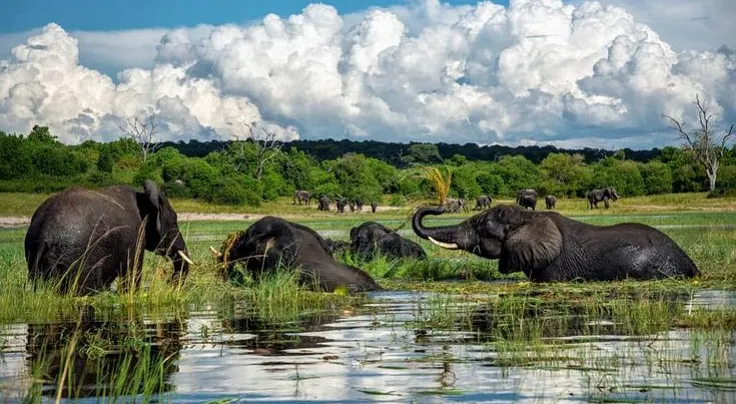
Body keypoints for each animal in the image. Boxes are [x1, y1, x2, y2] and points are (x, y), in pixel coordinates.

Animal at [24, 181, 193, 296]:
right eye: (174, 222)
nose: (170, 282)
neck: (144, 197)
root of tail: (44, 234)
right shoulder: (135, 237)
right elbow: (132, 273)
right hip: (77, 257)